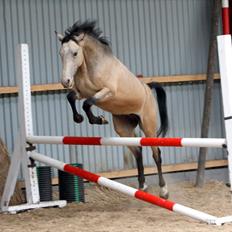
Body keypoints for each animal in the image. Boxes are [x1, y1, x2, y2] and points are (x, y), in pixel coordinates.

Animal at [55, 20, 169, 198]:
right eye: (61, 54)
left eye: (75, 53)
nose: (65, 81)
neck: (90, 67)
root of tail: (148, 88)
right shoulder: (81, 93)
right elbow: (71, 97)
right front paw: (79, 118)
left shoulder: (106, 92)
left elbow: (87, 103)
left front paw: (99, 120)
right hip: (123, 128)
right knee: (137, 150)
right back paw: (142, 186)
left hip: (148, 127)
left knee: (156, 154)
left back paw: (164, 190)